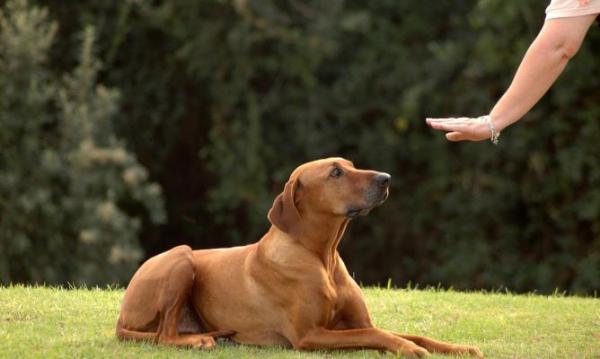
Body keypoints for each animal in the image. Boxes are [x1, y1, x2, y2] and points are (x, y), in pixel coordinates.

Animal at [116, 158, 482, 358]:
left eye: (351, 165)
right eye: (335, 173)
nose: (386, 178)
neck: (322, 257)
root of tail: (121, 316)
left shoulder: (358, 321)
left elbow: (409, 333)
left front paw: (459, 348)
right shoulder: (309, 335)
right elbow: (377, 335)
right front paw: (408, 349)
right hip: (181, 257)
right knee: (163, 336)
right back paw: (199, 341)